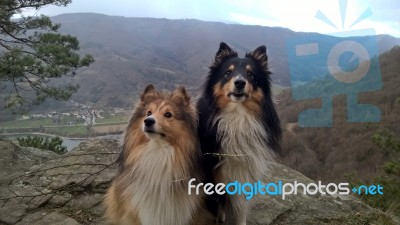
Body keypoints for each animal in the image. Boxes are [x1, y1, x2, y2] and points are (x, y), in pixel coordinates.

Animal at [197, 41, 282, 223]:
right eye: (228, 72)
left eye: (250, 74)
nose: (240, 82)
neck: (237, 117)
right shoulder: (212, 180)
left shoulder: (245, 175)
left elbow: (241, 211)